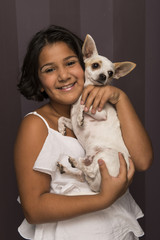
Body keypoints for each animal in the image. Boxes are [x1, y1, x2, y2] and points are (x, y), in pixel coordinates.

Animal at [57, 34, 136, 191]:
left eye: (111, 73)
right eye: (95, 65)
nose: (104, 76)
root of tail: (98, 186)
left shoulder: (101, 113)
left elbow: (83, 104)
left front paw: (81, 114)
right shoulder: (71, 121)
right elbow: (62, 118)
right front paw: (61, 128)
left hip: (105, 155)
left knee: (91, 172)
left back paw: (76, 163)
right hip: (92, 162)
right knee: (83, 175)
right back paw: (68, 168)